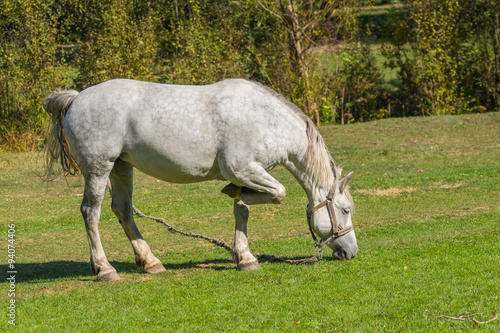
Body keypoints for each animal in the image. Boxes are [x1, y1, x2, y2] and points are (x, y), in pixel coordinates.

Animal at [42, 78, 356, 280]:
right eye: (345, 210)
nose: (352, 252)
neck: (266, 119)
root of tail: (76, 97)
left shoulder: (247, 175)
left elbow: (242, 211)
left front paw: (245, 258)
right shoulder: (243, 170)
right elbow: (279, 193)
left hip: (121, 167)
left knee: (123, 210)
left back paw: (150, 262)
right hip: (99, 168)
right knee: (90, 212)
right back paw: (105, 269)